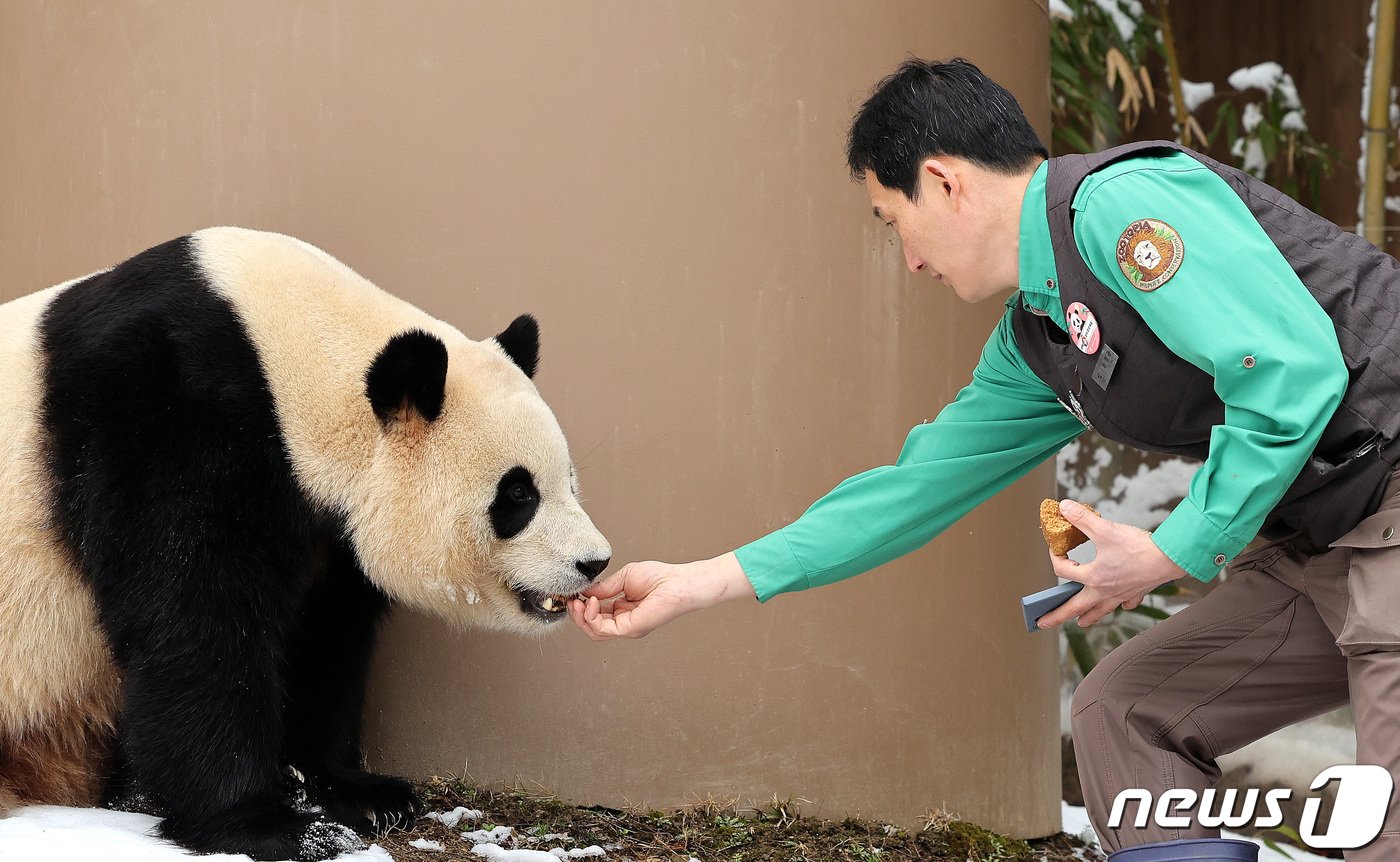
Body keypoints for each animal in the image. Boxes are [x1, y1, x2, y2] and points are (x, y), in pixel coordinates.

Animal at [0, 229, 613, 862]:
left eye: (568, 481)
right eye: (517, 493)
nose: (594, 562)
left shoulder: (325, 528)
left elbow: (325, 637)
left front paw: (359, 793)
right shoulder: (162, 418)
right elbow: (194, 623)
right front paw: (269, 825)